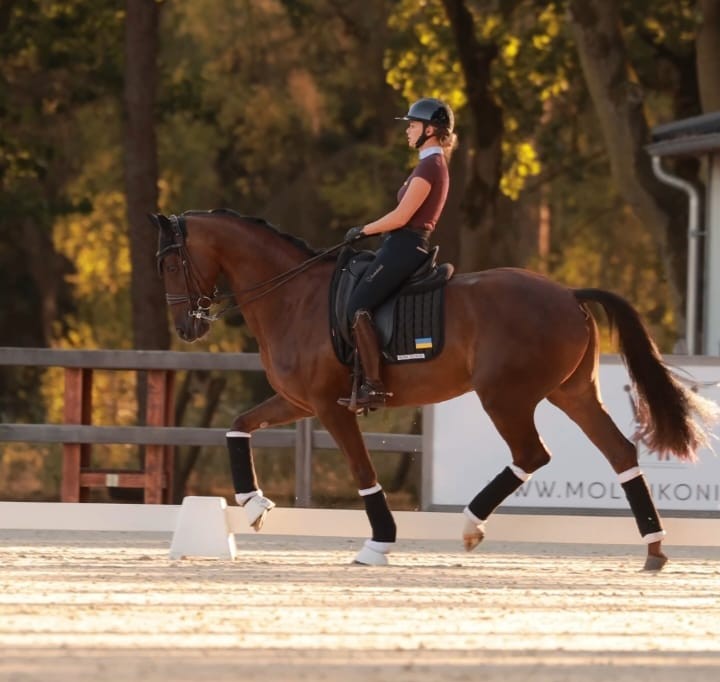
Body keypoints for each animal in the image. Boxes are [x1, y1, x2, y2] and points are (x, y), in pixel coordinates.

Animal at [150, 209, 717, 570]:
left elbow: (364, 473)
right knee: (619, 452)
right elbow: (237, 427)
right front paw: (252, 505)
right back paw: (654, 549)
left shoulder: (331, 408)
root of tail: (568, 294)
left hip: (505, 396)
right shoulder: (298, 401)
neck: (293, 296)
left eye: (170, 262)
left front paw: (378, 544)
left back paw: (470, 525)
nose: (185, 327)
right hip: (572, 393)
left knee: (532, 454)